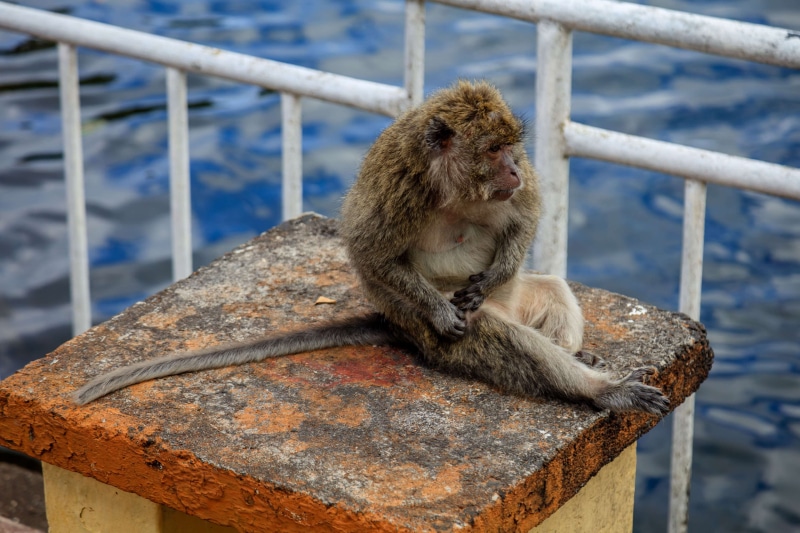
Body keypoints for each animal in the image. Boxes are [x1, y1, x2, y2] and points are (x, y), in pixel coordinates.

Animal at [72, 80, 668, 415]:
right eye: (493, 150)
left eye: (511, 148)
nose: (515, 168)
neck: (451, 186)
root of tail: (393, 326)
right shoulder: (398, 185)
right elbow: (370, 254)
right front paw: (437, 306)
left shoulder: (512, 193)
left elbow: (525, 218)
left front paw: (497, 269)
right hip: (436, 339)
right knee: (500, 337)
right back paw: (599, 391)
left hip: (518, 299)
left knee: (549, 290)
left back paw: (574, 354)